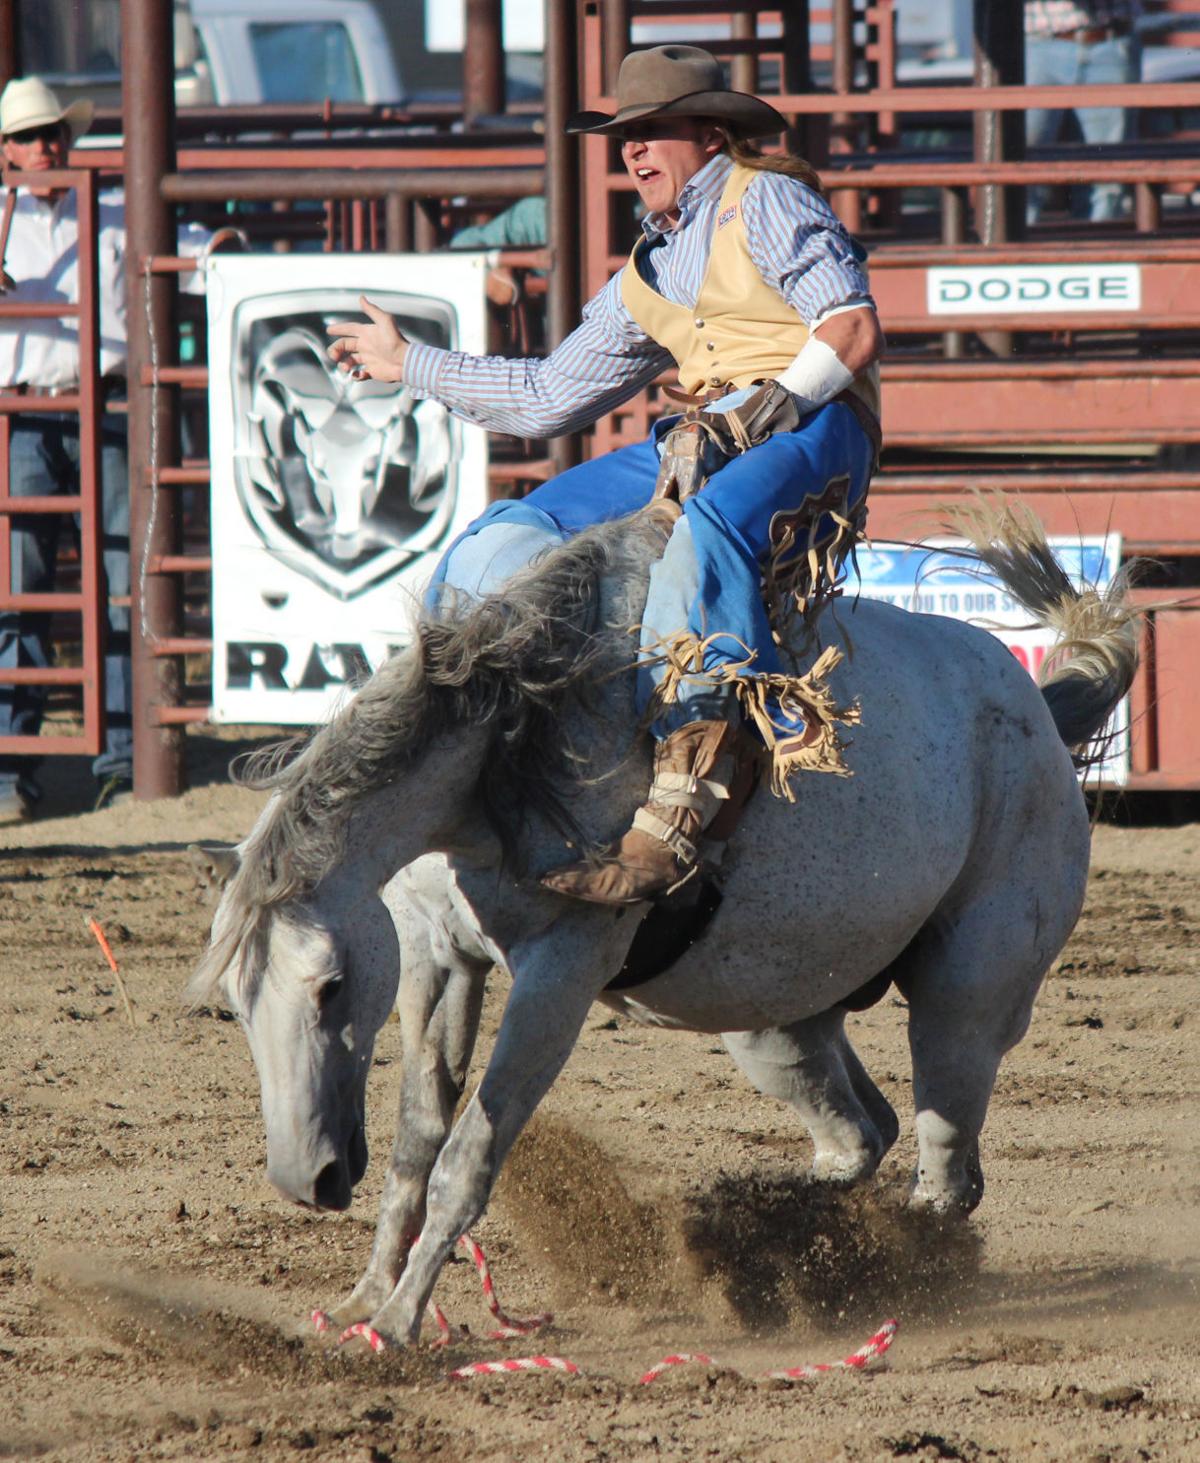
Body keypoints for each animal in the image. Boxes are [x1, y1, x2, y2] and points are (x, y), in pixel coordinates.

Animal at [187, 500, 1135, 1345]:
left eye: (330, 985)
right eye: (233, 1005)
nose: (305, 1179)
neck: (516, 741)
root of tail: (1039, 705)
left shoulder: (563, 969)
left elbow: (470, 1152)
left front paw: (396, 1323)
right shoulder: (437, 951)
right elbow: (418, 1135)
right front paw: (363, 1296)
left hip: (969, 996)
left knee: (942, 1166)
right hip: (778, 1023)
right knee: (861, 1134)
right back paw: (775, 1241)